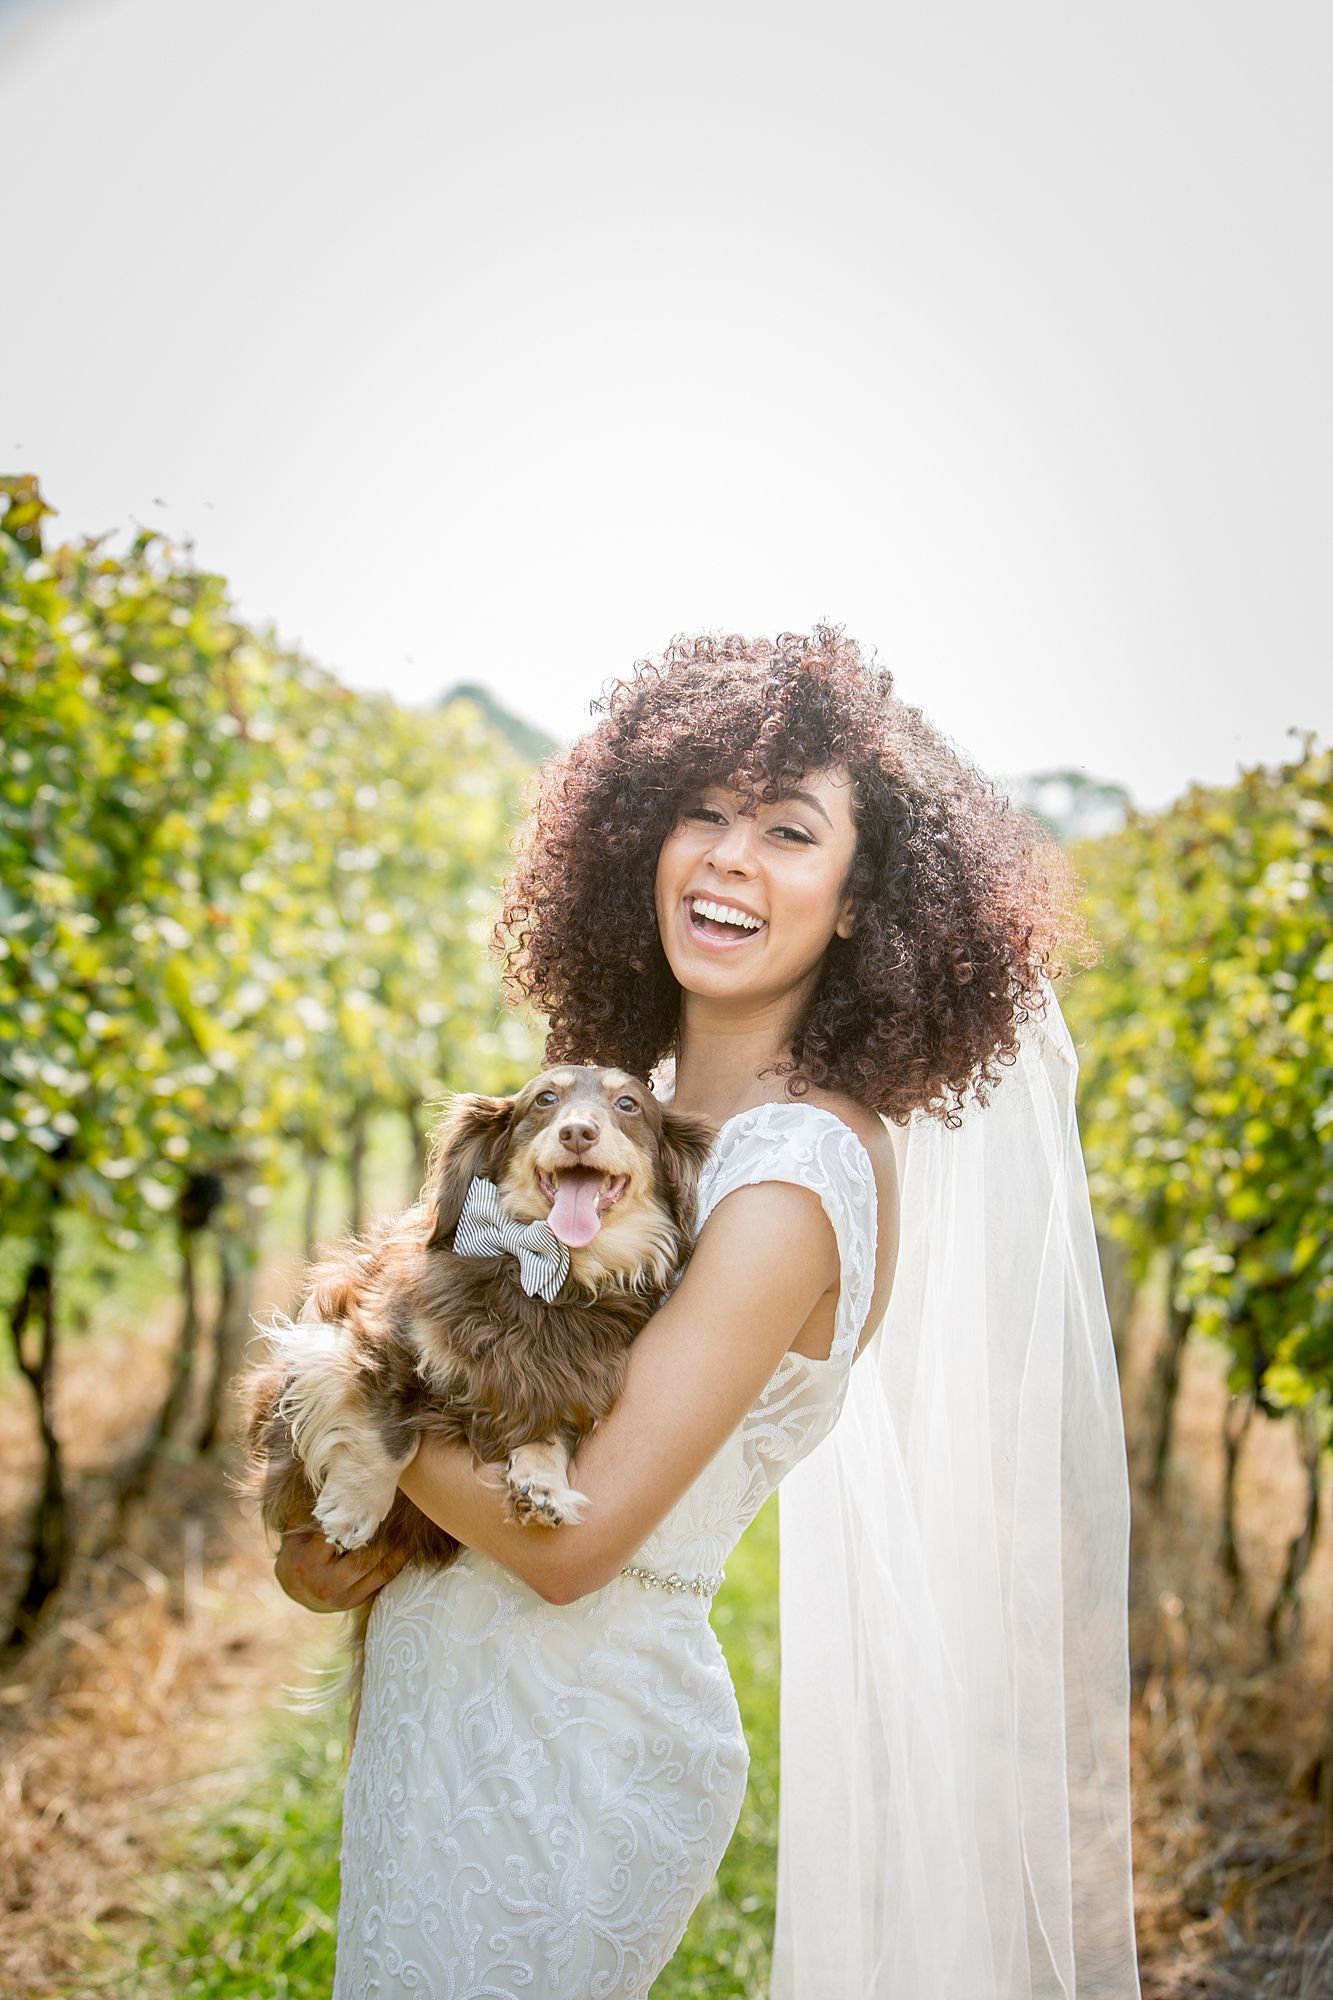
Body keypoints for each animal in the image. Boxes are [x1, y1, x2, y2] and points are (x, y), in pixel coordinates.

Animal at [240, 1064, 716, 1592]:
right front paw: (355, 1506)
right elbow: (390, 1435)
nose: (577, 1132)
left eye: (629, 1105)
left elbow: (549, 1429)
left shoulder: (568, 1383)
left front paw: (544, 1484)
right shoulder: (370, 1335)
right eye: (545, 1099)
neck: (543, 1274)